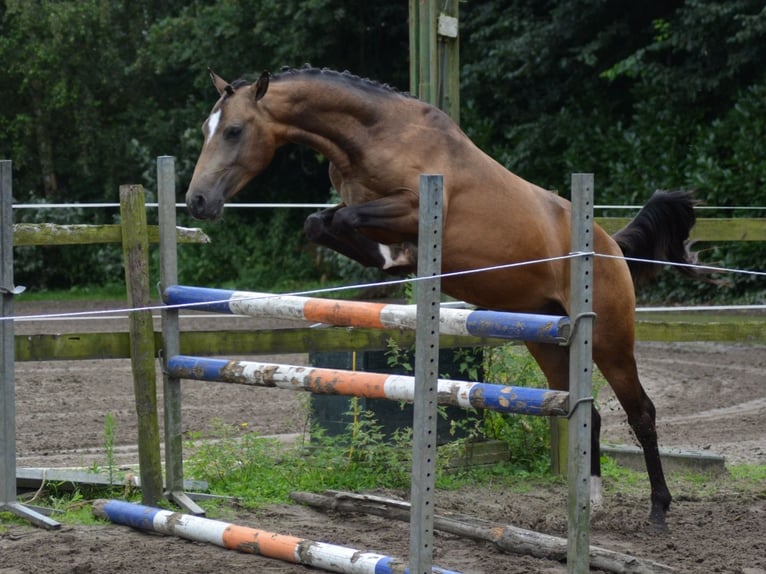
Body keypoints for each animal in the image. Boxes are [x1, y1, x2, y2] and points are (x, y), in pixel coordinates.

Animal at [186, 67, 708, 532]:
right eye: (207, 130)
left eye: (234, 130)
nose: (197, 202)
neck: (372, 137)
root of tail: (610, 247)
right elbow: (321, 222)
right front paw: (387, 265)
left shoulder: (411, 206)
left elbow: (344, 220)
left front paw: (395, 259)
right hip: (546, 338)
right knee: (589, 413)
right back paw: (590, 503)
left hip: (611, 340)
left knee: (641, 412)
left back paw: (658, 511)